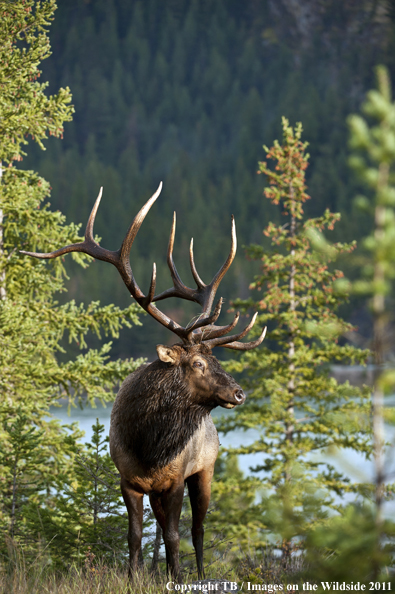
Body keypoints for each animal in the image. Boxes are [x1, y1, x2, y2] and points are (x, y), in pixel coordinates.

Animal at [20, 182, 266, 580]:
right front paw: (135, 575)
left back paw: (199, 574)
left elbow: (175, 535)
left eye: (218, 360)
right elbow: (135, 535)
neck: (149, 446)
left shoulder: (176, 479)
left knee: (198, 529)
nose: (239, 392)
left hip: (207, 468)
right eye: (198, 362)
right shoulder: (129, 480)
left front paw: (177, 577)